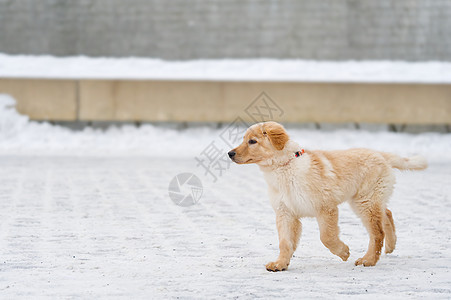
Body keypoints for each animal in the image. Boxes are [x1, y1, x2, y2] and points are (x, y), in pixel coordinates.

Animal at [230, 120, 428, 270]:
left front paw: (344, 252)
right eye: (244, 140)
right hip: (368, 199)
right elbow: (285, 242)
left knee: (377, 232)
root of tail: (381, 155)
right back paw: (390, 246)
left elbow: (326, 237)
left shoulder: (326, 207)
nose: (230, 153)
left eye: (252, 141)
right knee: (387, 214)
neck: (284, 168)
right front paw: (280, 264)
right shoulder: (285, 212)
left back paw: (368, 260)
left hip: (365, 201)